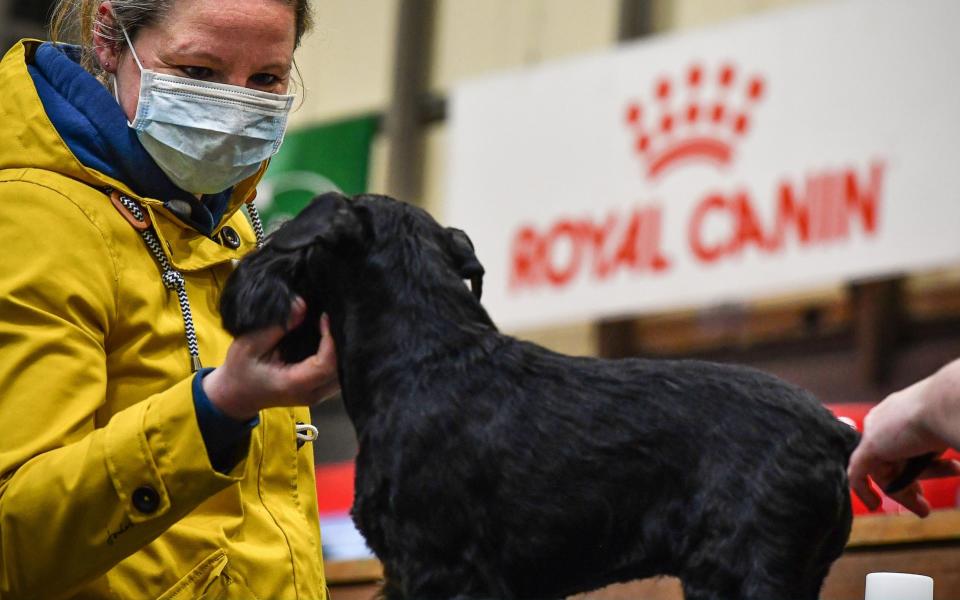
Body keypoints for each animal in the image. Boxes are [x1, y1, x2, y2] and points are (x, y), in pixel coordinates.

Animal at [221, 192, 860, 600]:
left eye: (284, 243)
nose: (236, 288)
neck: (424, 355)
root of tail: (839, 433)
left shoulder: (434, 568)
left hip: (740, 574)